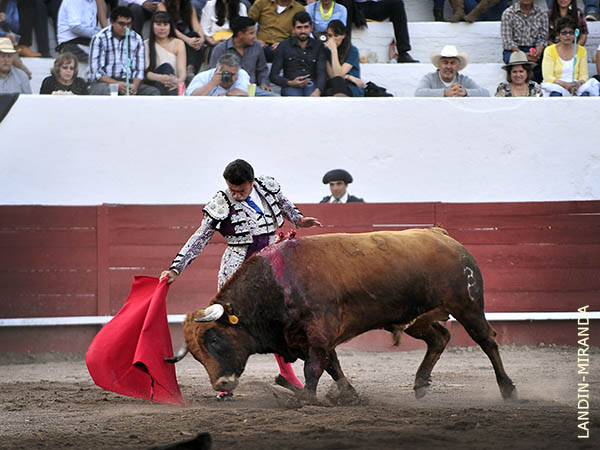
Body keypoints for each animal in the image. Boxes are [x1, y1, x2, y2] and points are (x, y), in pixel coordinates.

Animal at [175, 229, 516, 400]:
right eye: (196, 355)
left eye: (214, 340)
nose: (220, 384)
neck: (274, 283)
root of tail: (444, 237)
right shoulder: (306, 338)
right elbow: (332, 365)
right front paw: (348, 394)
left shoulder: (319, 329)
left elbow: (315, 367)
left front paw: (307, 398)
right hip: (417, 317)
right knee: (440, 337)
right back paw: (420, 384)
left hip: (467, 305)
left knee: (487, 341)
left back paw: (508, 389)